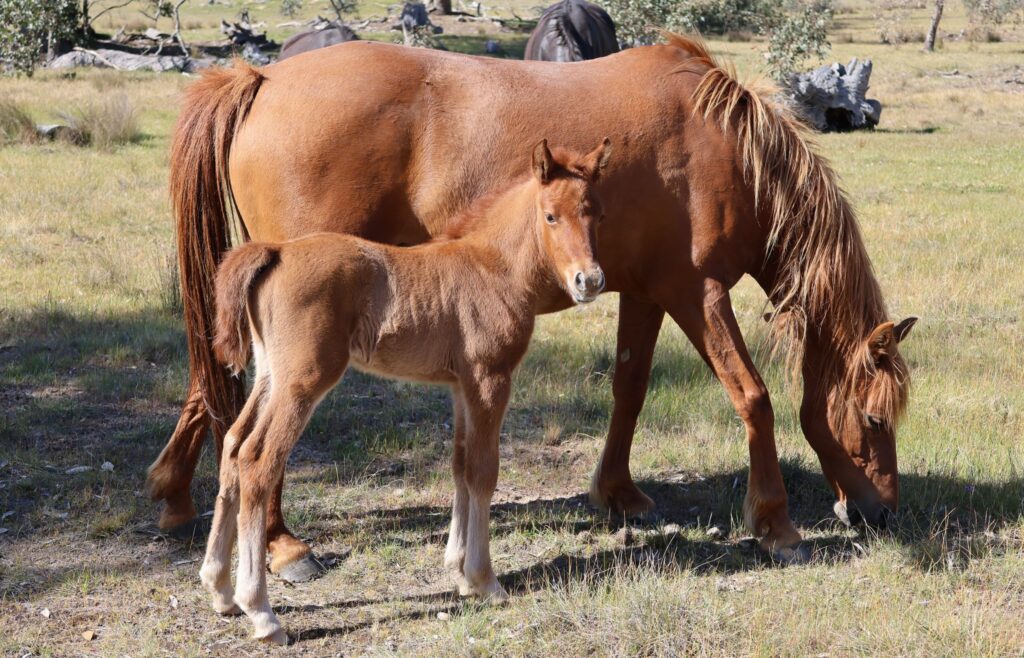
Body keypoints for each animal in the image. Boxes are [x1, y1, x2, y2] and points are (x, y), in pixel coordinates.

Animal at [148, 36, 917, 581]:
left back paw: (177, 492)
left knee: (219, 387)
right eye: (874, 418)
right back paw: (281, 545)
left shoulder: (645, 291)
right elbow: (752, 397)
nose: (882, 513)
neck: (723, 149)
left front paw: (616, 493)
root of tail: (263, 81)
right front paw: (776, 526)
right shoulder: (697, 293)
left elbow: (630, 387)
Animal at [203, 139, 610, 642]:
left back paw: (219, 588)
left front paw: (459, 571)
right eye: (551, 216)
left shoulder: (461, 387)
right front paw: (485, 580)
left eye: (596, 213)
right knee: (258, 461)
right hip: (303, 381)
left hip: (269, 376)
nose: (589, 281)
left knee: (233, 446)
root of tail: (275, 250)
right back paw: (261, 611)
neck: (493, 267)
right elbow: (484, 471)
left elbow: (460, 466)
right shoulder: (490, 378)